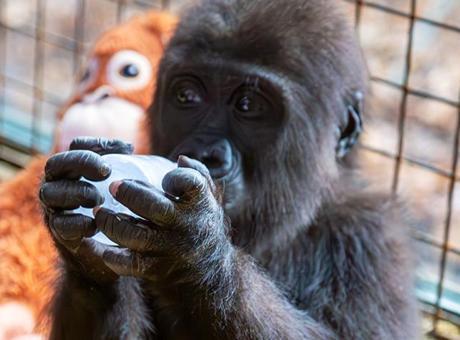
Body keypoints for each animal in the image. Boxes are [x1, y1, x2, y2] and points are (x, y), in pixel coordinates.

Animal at [40, 0, 420, 338]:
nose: (204, 153)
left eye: (248, 105)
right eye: (187, 97)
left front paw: (196, 252)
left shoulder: (371, 237)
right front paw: (83, 261)